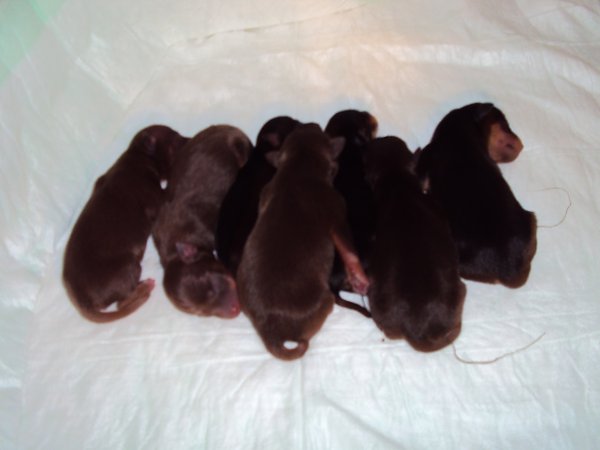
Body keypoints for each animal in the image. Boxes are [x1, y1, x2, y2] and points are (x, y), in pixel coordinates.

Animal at [63, 125, 188, 322]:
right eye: (175, 140)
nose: (191, 139)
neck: (137, 155)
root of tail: (83, 301)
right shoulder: (155, 198)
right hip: (129, 266)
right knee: (123, 302)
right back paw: (145, 287)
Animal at [237, 123, 369, 360]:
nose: (311, 123)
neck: (298, 166)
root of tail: (270, 334)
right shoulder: (336, 211)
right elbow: (348, 250)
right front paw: (359, 278)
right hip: (324, 302)